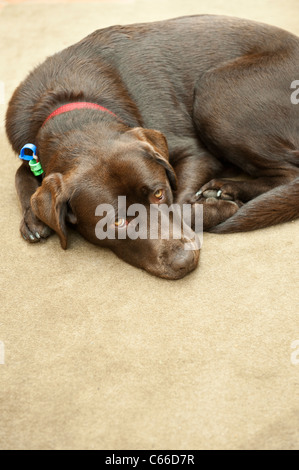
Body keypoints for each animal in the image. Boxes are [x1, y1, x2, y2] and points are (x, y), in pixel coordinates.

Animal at [5, 15, 299, 280]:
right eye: (116, 222)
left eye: (159, 194)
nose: (184, 260)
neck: (67, 104)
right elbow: (21, 172)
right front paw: (32, 217)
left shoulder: (195, 153)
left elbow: (178, 204)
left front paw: (214, 210)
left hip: (213, 92)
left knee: (290, 173)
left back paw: (225, 189)